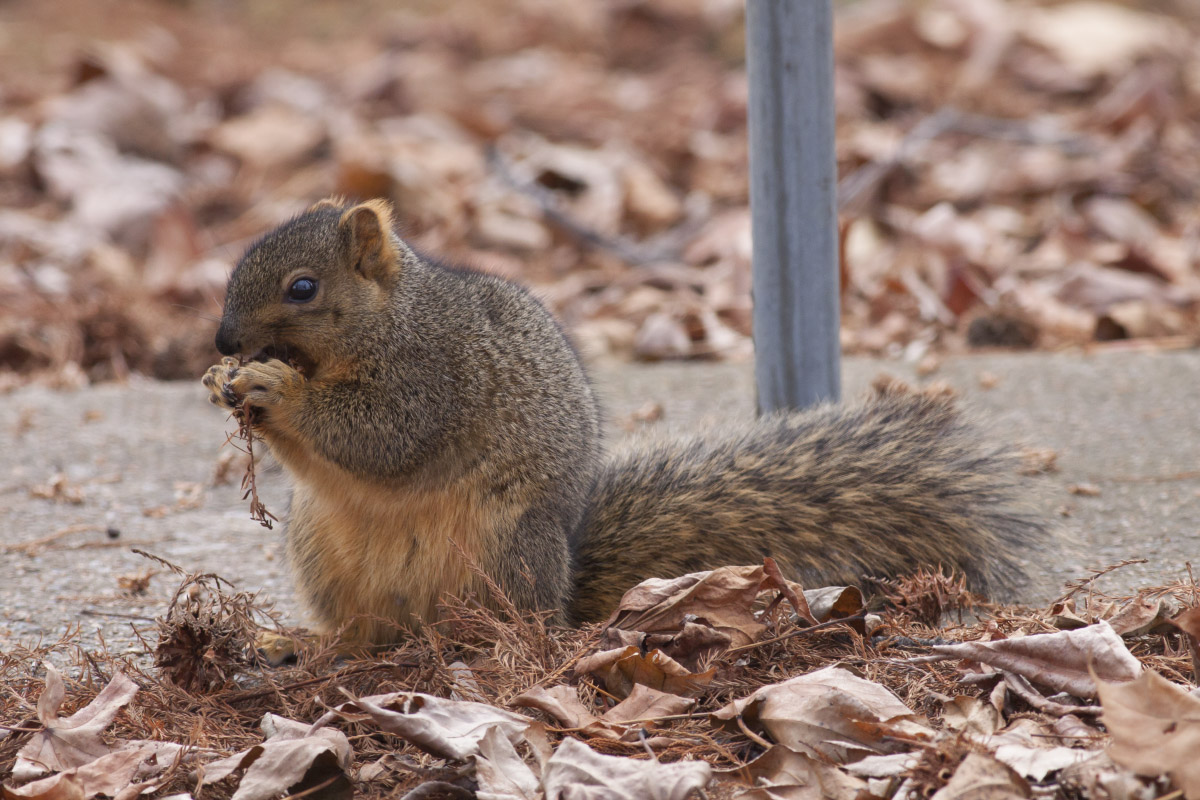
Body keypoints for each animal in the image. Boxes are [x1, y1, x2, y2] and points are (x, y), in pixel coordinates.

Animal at [201, 200, 1046, 642]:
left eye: (303, 287)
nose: (222, 342)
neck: (390, 317)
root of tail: (563, 597)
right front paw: (223, 386)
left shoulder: (431, 376)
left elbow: (380, 434)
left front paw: (272, 387)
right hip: (323, 553)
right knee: (361, 631)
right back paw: (324, 651)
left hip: (501, 550)